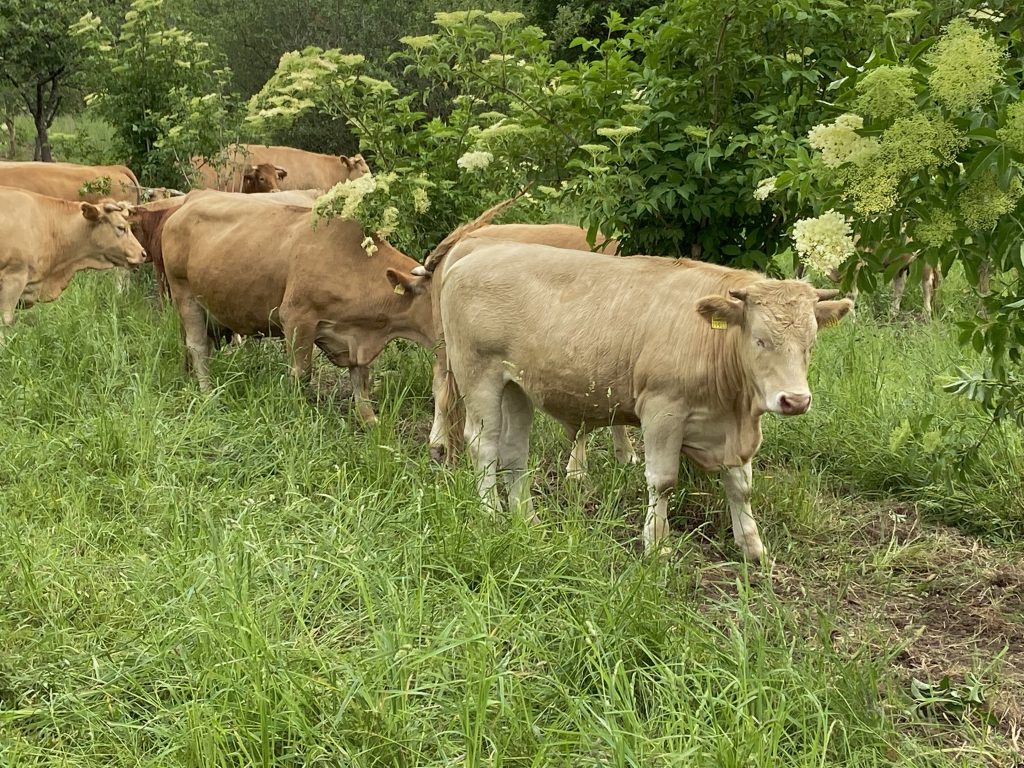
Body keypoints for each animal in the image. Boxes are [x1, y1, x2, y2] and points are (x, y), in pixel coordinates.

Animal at [160, 193, 433, 422]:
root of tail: (189, 201)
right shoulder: (297, 317)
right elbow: (302, 373)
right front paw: (298, 412)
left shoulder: (357, 339)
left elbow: (361, 377)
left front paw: (369, 419)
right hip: (185, 295)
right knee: (197, 347)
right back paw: (208, 394)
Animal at [437, 243, 853, 561]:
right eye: (760, 339)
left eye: (810, 344)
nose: (795, 400)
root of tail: (472, 255)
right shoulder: (662, 411)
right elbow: (663, 481)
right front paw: (657, 545)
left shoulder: (734, 433)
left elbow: (741, 486)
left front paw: (752, 547)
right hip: (479, 377)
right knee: (484, 446)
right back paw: (491, 514)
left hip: (517, 388)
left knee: (514, 452)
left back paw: (527, 519)